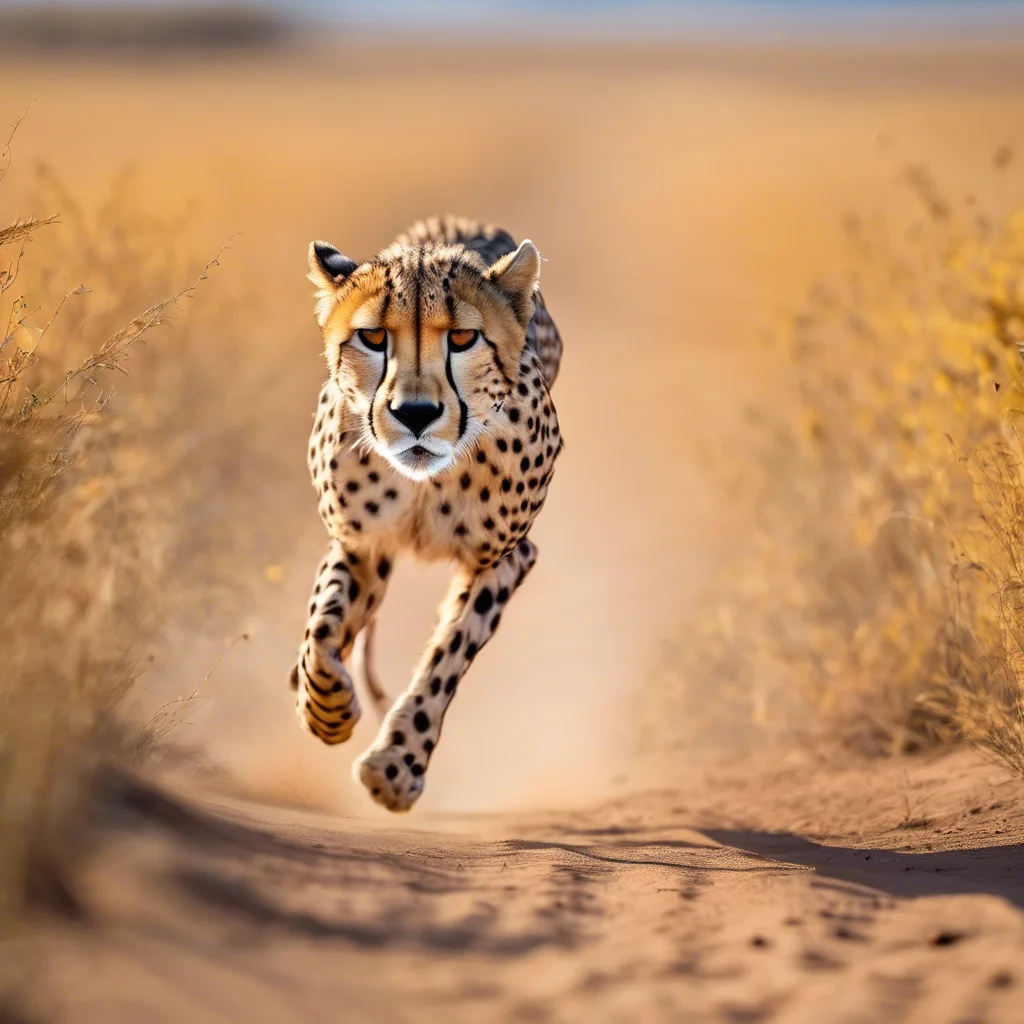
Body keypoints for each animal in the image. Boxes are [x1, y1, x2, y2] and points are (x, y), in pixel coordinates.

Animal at [289, 215, 563, 812]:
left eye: (462, 338)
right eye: (372, 337)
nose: (414, 414)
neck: (428, 482)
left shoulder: (505, 557)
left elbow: (449, 651)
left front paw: (396, 767)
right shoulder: (362, 543)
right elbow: (323, 626)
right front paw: (326, 709)